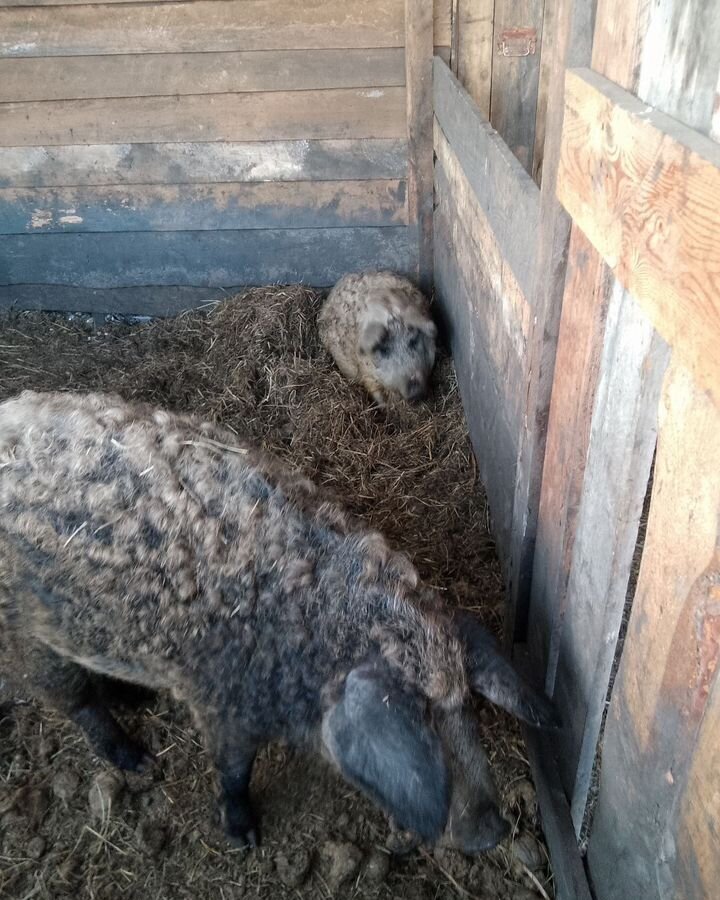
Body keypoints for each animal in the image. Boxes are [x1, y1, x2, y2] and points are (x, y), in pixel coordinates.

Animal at [0, 392, 560, 852]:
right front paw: (245, 838)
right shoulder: (222, 702)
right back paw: (138, 760)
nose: (494, 832)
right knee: (72, 700)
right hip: (28, 633)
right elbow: (233, 770)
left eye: (464, 706)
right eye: (422, 717)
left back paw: (136, 700)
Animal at [320, 268, 438, 406]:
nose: (415, 391)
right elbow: (375, 392)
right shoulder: (366, 373)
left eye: (413, 341)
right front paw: (385, 407)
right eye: (384, 350)